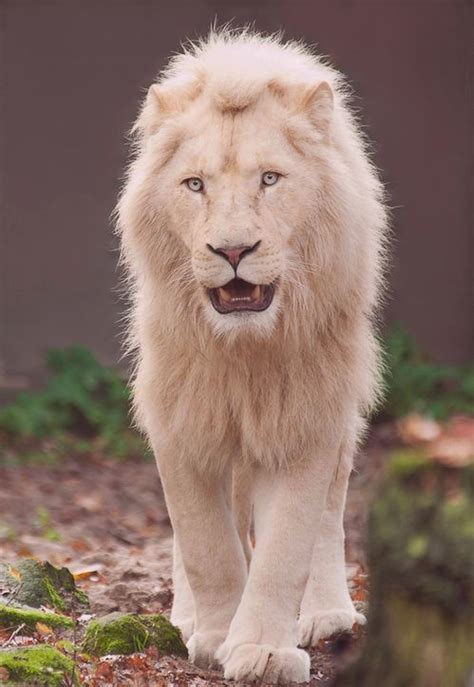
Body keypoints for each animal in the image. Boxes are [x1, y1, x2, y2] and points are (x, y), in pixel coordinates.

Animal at [116, 26, 386, 684]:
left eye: (269, 179)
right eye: (195, 185)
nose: (233, 250)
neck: (244, 352)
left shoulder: (307, 416)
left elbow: (286, 546)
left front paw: (263, 650)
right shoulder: (180, 414)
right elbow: (205, 544)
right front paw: (215, 636)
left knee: (329, 515)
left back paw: (327, 615)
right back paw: (188, 619)